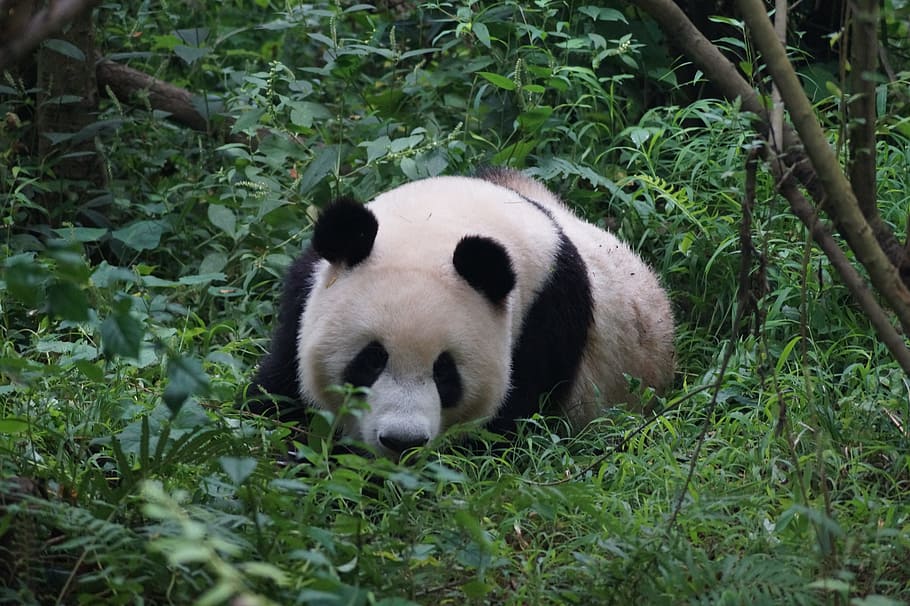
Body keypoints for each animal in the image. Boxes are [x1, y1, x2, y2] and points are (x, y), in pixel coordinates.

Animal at [250, 168, 675, 458]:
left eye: (445, 372)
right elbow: (280, 391)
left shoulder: (542, 325)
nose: (402, 441)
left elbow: (496, 439)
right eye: (370, 360)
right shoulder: (306, 294)